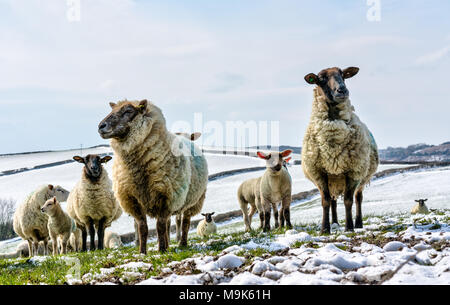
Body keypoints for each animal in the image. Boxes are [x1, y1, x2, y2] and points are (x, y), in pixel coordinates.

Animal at [97, 99, 208, 252]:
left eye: (128, 111)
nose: (101, 126)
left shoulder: (167, 197)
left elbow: (160, 226)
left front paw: (161, 250)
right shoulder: (132, 200)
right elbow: (142, 228)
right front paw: (142, 252)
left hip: (194, 201)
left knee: (185, 221)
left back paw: (182, 243)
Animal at [300, 66, 378, 233]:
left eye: (343, 74)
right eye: (321, 79)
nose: (342, 90)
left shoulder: (354, 171)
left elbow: (349, 200)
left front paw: (349, 228)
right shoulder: (319, 173)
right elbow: (325, 201)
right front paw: (325, 229)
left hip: (361, 176)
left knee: (358, 198)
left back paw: (358, 223)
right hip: (333, 179)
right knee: (333, 201)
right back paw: (335, 223)